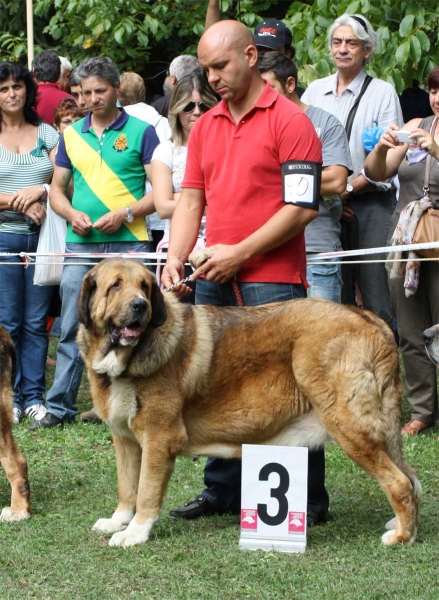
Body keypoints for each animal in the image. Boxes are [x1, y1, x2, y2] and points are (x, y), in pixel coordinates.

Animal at [77, 258, 422, 548]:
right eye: (115, 286)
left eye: (144, 287)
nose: (140, 305)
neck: (125, 360)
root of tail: (369, 318)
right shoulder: (124, 439)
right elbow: (127, 487)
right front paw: (118, 521)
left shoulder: (158, 439)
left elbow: (146, 492)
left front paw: (134, 533)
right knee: (409, 476)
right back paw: (404, 525)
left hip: (351, 428)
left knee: (399, 483)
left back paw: (401, 536)